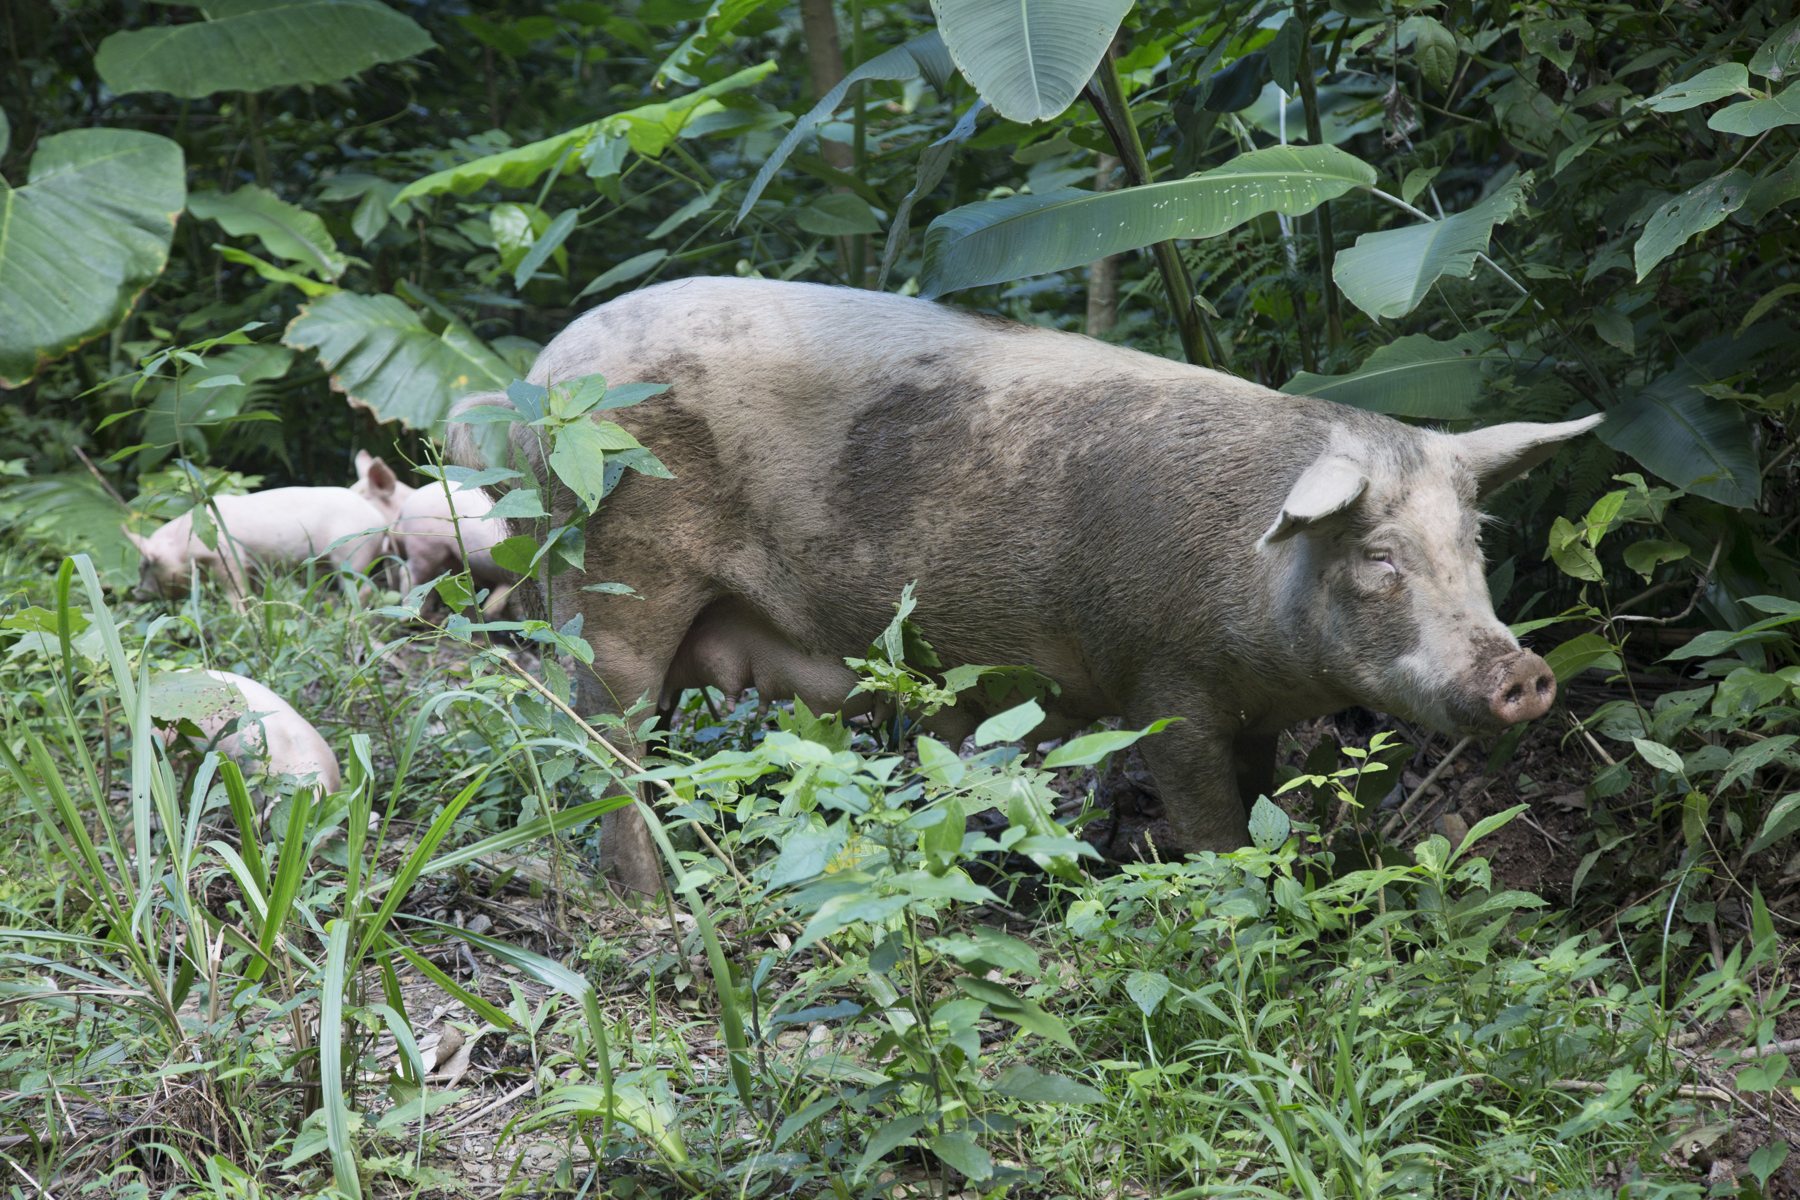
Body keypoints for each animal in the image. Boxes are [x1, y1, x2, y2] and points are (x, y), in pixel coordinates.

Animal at [124, 487, 390, 612]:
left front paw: (240, 613)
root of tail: (381, 520)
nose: (136, 593)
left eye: (145, 565)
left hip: (351, 553)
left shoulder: (227, 555)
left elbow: (235, 587)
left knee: (362, 587)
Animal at [448, 277, 1601, 895]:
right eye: (1381, 558)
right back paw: (652, 904)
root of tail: (542, 372)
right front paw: (1233, 897)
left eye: (1474, 545)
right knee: (603, 738)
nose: (1523, 672)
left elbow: (1260, 792)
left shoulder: (1252, 709)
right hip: (609, 573)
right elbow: (1210, 818)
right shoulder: (1161, 678)